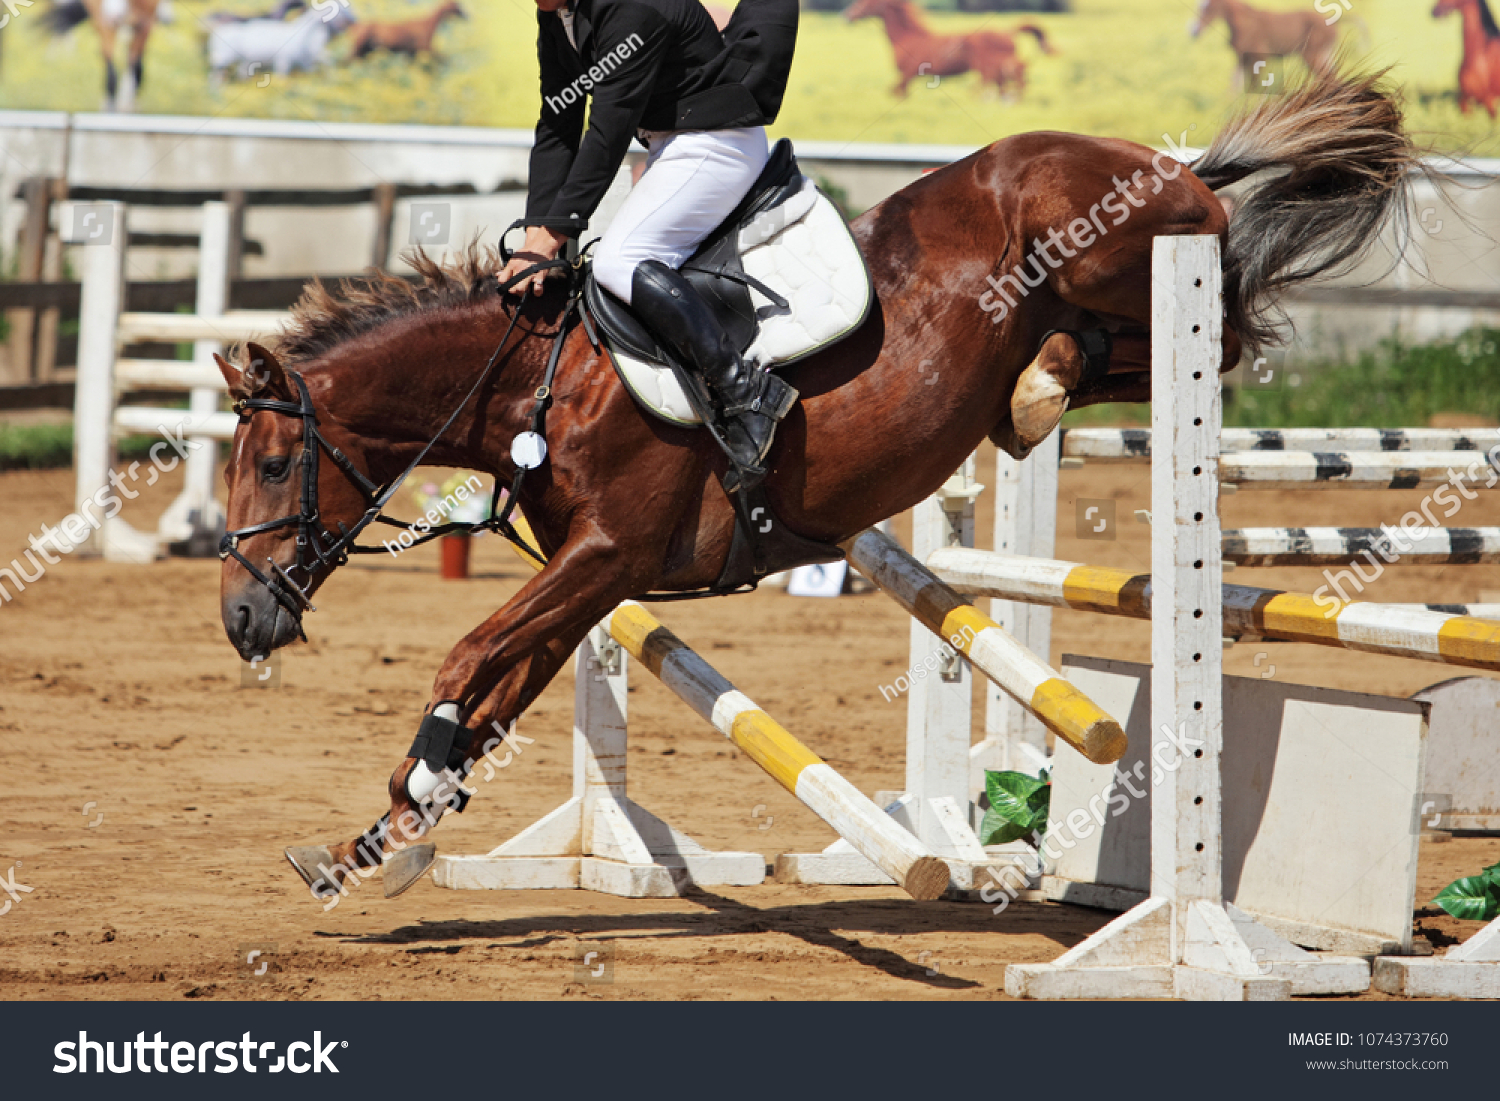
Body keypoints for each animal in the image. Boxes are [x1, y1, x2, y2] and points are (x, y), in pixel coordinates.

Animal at [219, 71, 1416, 906]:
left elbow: (468, 658)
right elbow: (496, 694)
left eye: (274, 465)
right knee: (1152, 350)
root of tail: (1177, 166)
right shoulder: (595, 580)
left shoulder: (607, 555)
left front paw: (406, 809)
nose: (239, 619)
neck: (544, 377)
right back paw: (1035, 390)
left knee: (1221, 329)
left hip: (1123, 250)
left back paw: (1042, 384)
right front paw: (379, 838)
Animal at [846, 0, 1056, 99]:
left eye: (866, 2)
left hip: (993, 68)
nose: (848, 16)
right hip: (997, 70)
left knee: (1012, 79)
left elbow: (896, 92)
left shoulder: (908, 73)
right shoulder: (907, 76)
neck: (908, 38)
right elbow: (896, 93)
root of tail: (1007, 31)